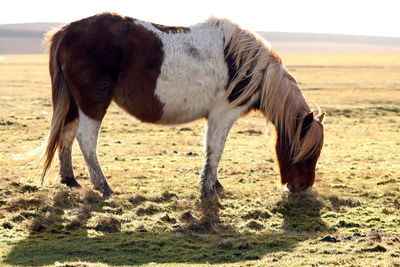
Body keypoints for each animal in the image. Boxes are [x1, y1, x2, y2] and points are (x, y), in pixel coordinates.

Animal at [42, 12, 324, 201]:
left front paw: (213, 184)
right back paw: (103, 186)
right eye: (307, 154)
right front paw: (208, 189)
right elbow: (216, 150)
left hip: (75, 104)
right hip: (93, 103)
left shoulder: (214, 117)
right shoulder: (224, 114)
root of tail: (67, 30)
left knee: (67, 134)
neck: (252, 67)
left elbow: (210, 151)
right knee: (86, 139)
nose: (302, 188)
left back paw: (70, 180)